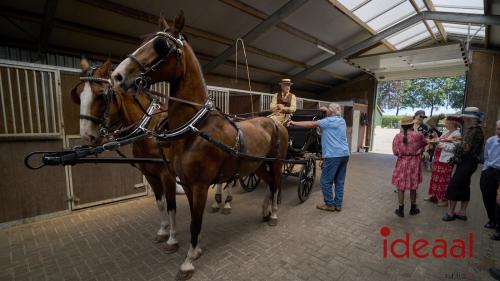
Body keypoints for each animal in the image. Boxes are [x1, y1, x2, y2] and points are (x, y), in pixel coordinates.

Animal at [111, 12, 288, 278]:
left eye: (160, 45)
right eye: (143, 40)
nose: (118, 76)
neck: (195, 129)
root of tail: (274, 121)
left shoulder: (200, 185)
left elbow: (196, 221)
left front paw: (188, 261)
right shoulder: (185, 182)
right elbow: (191, 216)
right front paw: (195, 251)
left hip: (276, 163)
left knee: (276, 185)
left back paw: (274, 213)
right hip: (256, 166)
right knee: (268, 184)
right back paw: (265, 211)